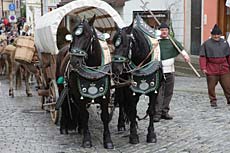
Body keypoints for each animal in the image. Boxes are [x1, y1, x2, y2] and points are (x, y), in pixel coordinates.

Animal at [55, 15, 113, 148]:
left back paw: (80, 127)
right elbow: (85, 115)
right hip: (62, 88)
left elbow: (105, 116)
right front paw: (87, 140)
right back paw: (64, 126)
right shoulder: (78, 94)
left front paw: (108, 141)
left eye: (87, 35)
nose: (74, 61)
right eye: (73, 36)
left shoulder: (105, 95)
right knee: (65, 105)